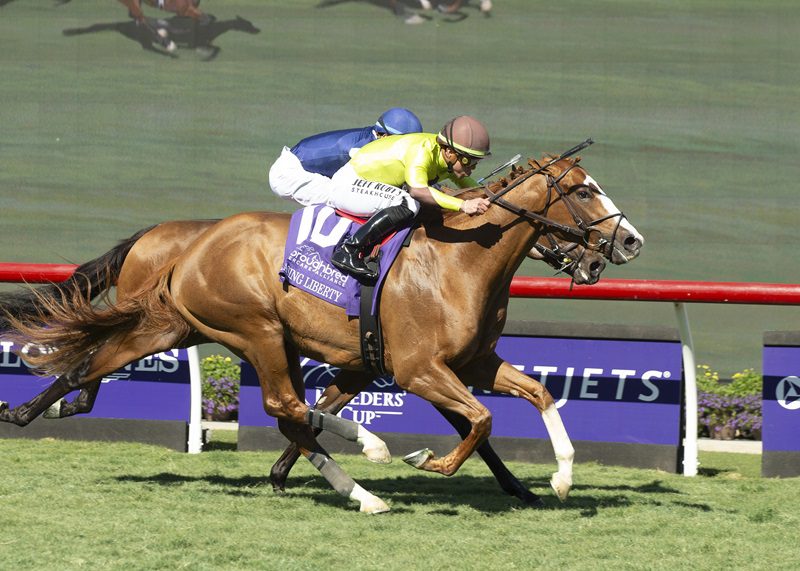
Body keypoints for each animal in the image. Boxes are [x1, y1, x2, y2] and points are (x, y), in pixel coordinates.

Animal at [0, 153, 636, 512]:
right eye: (583, 190)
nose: (630, 241)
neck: (460, 259)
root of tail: (190, 247)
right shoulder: (417, 368)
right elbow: (478, 421)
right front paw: (427, 461)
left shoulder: (470, 362)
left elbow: (539, 394)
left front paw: (557, 480)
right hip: (255, 328)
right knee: (284, 404)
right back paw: (369, 469)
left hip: (172, 327)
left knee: (95, 362)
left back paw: (31, 410)